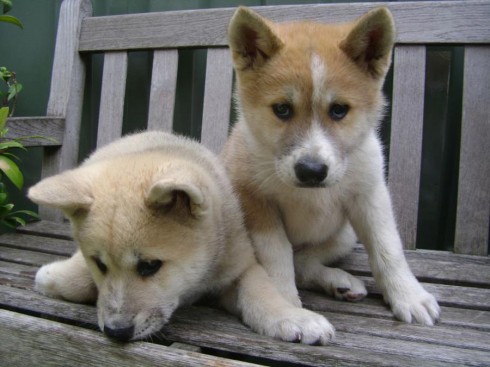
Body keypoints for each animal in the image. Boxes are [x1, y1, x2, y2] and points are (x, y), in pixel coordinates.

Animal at [29, 132, 334, 344]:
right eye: (100, 264)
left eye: (150, 266)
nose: (117, 332)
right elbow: (80, 278)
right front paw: (56, 277)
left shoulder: (241, 267)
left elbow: (262, 293)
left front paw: (292, 317)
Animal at [223, 6, 440, 328]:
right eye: (282, 109)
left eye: (339, 110)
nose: (312, 171)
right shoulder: (256, 202)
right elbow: (277, 258)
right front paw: (285, 308)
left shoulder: (370, 195)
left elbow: (388, 249)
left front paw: (409, 296)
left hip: (345, 235)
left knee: (304, 261)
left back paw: (340, 282)